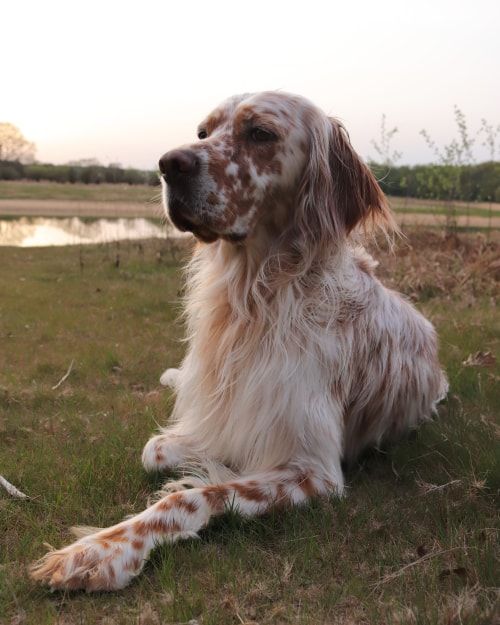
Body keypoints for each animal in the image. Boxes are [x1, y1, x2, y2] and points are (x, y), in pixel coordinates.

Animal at [31, 91, 448, 588]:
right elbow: (155, 449)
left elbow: (188, 497)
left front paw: (99, 551)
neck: (253, 301)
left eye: (260, 133)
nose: (169, 164)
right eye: (203, 133)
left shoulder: (314, 471)